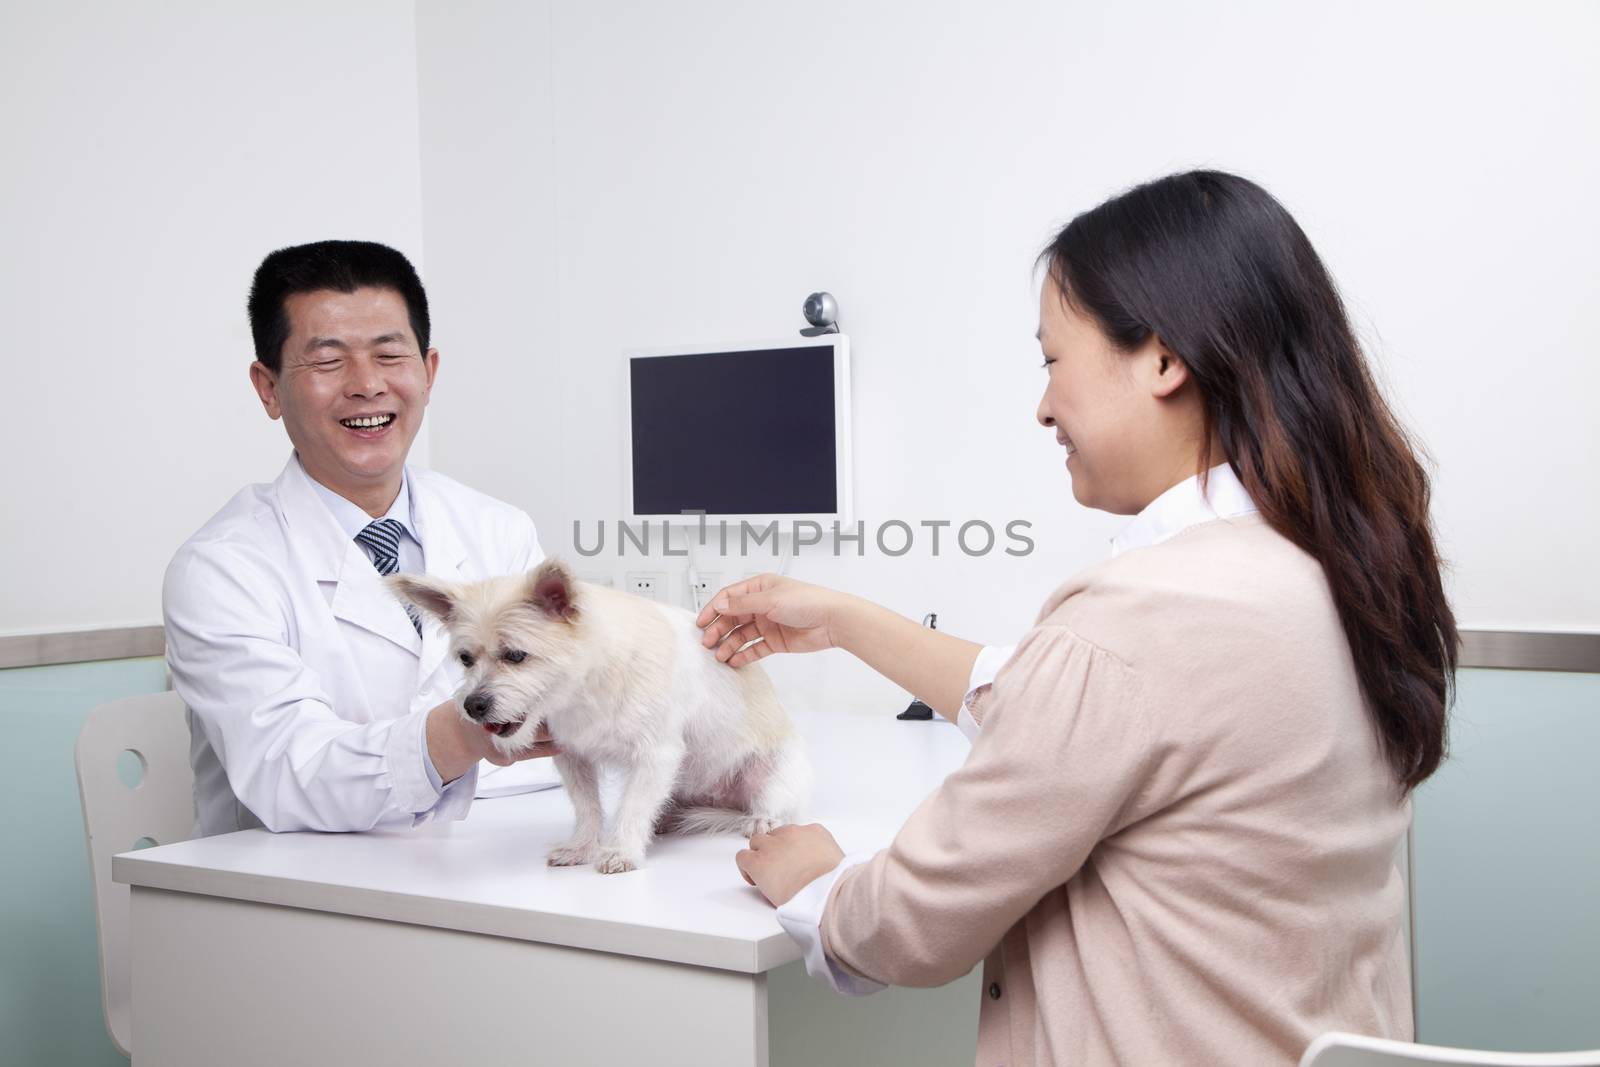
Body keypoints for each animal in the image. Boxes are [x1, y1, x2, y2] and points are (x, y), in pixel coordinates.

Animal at [388, 563, 812, 870]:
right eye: (465, 659)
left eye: (515, 655)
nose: (473, 705)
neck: (587, 689)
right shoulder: (572, 757)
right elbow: (588, 807)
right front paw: (582, 847)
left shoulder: (655, 755)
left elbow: (633, 806)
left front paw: (622, 850)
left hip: (771, 775)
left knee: (769, 805)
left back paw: (760, 820)